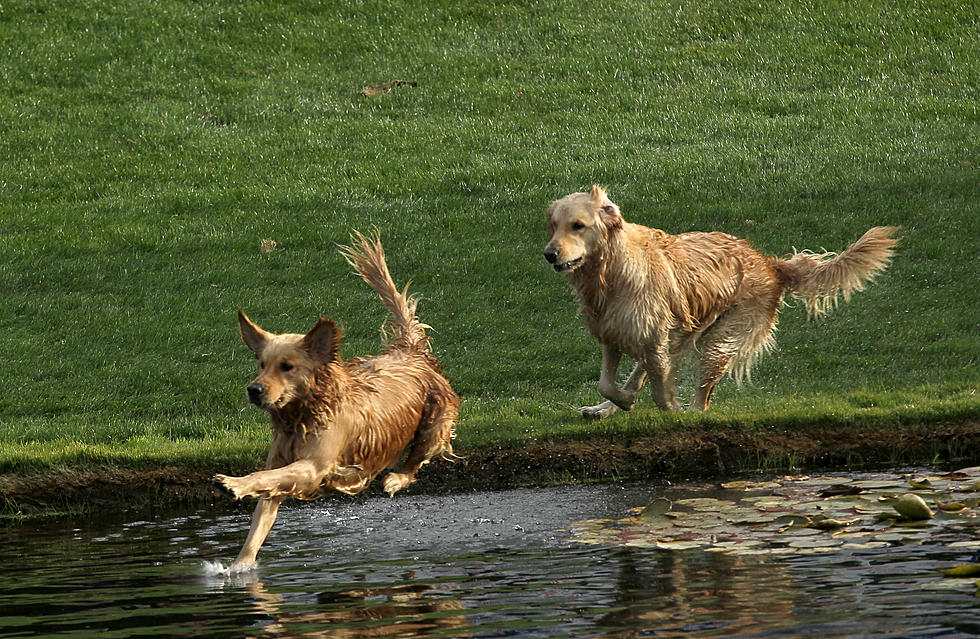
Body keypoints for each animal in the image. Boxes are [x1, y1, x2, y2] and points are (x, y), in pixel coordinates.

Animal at [213, 231, 456, 576]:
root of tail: (408, 352)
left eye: (286, 366)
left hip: (435, 419)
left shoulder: (314, 467)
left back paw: (395, 479)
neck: (302, 415)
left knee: (417, 460)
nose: (253, 389)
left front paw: (232, 484)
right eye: (261, 364)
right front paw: (239, 566)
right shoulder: (281, 465)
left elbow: (263, 477)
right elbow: (261, 516)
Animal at [544, 186, 896, 416]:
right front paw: (620, 401)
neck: (611, 272)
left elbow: (659, 389)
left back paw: (690, 411)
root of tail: (768, 262)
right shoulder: (613, 334)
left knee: (702, 398)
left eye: (578, 226)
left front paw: (670, 407)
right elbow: (607, 383)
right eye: (554, 225)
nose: (549, 254)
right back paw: (605, 408)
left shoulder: (654, 338)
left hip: (721, 341)